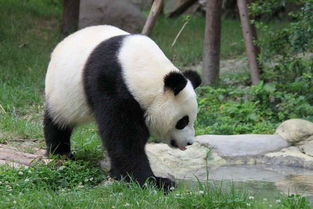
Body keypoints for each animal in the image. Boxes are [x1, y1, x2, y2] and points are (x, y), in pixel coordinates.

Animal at [43, 24, 200, 191]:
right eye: (182, 121)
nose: (190, 142)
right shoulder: (111, 83)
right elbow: (123, 136)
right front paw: (153, 181)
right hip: (62, 93)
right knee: (57, 122)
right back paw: (61, 152)